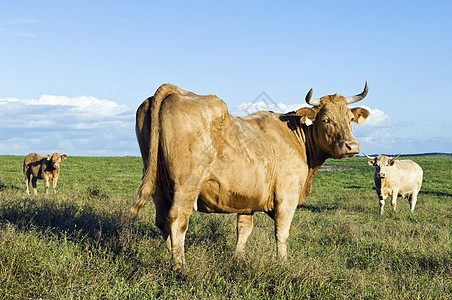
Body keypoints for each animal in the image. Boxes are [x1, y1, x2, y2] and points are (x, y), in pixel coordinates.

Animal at [124, 82, 370, 272]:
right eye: (325, 119)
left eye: (350, 118)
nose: (352, 146)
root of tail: (176, 90)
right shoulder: (287, 196)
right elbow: (282, 233)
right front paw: (283, 264)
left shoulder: (247, 198)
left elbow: (243, 229)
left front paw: (238, 259)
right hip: (186, 184)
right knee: (177, 219)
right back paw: (180, 267)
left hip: (156, 182)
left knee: (162, 220)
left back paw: (170, 257)